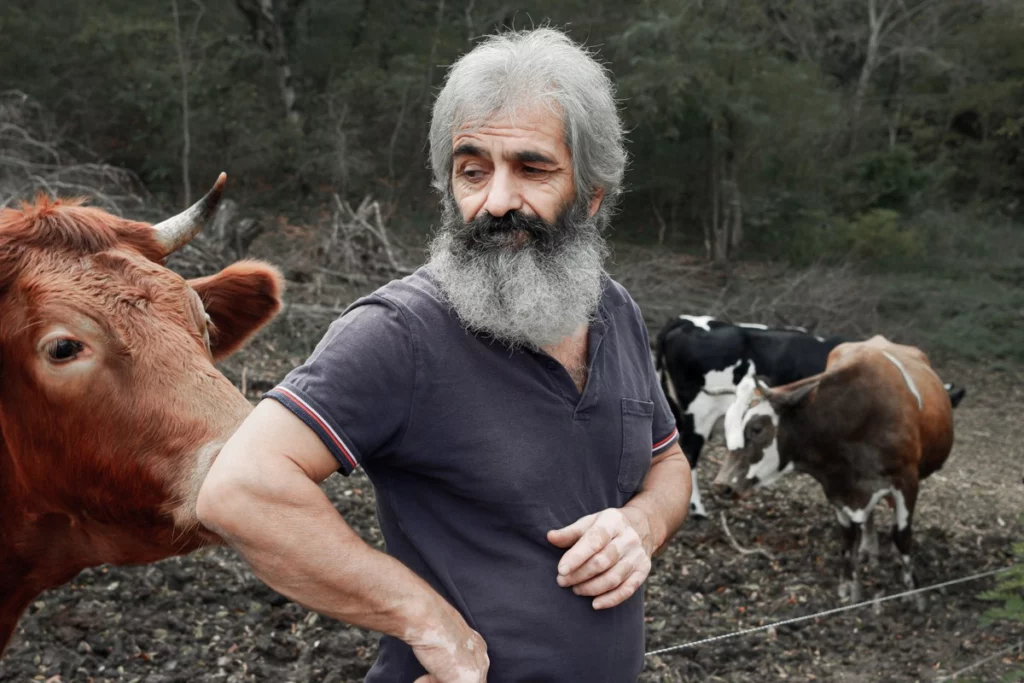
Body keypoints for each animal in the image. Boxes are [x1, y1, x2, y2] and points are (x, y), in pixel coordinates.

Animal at [711, 335, 955, 607]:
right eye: (726, 427)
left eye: (756, 428)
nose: (722, 485)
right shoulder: (836, 487)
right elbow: (848, 539)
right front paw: (849, 587)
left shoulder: (906, 482)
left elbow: (901, 536)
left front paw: (914, 591)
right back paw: (869, 548)